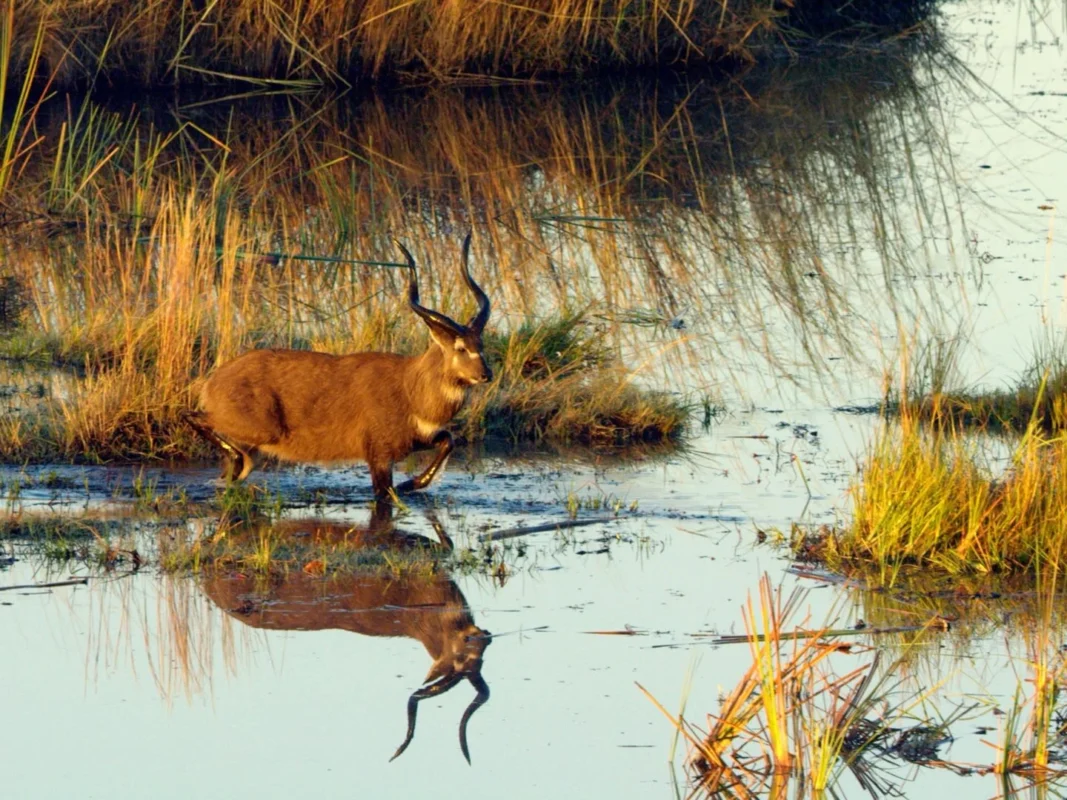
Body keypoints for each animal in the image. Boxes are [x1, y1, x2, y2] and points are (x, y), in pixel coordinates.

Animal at [185, 234, 492, 498]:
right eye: (461, 348)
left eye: (481, 344)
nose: (485, 375)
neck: (409, 388)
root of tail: (213, 381)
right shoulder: (379, 454)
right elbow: (385, 494)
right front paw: (406, 486)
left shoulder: (414, 441)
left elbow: (448, 439)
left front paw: (410, 484)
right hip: (261, 430)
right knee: (193, 416)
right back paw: (237, 461)